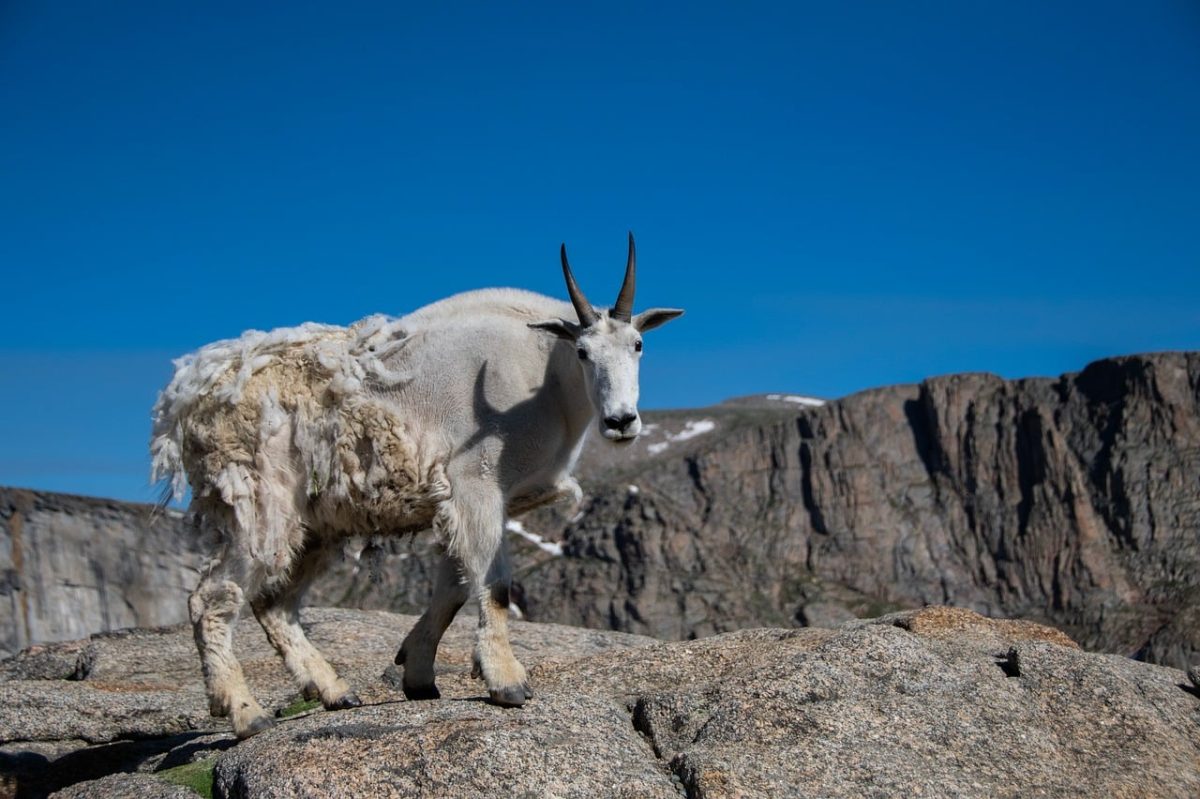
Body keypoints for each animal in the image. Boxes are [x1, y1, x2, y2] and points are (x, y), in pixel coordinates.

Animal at [150, 235, 682, 737]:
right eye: (583, 351)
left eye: (638, 345)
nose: (621, 422)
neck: (545, 380)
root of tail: (186, 403)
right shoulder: (475, 484)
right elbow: (494, 585)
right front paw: (507, 681)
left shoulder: (467, 503)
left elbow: (453, 589)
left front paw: (418, 673)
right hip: (259, 503)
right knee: (212, 598)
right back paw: (245, 712)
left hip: (316, 525)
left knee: (273, 602)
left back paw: (333, 690)